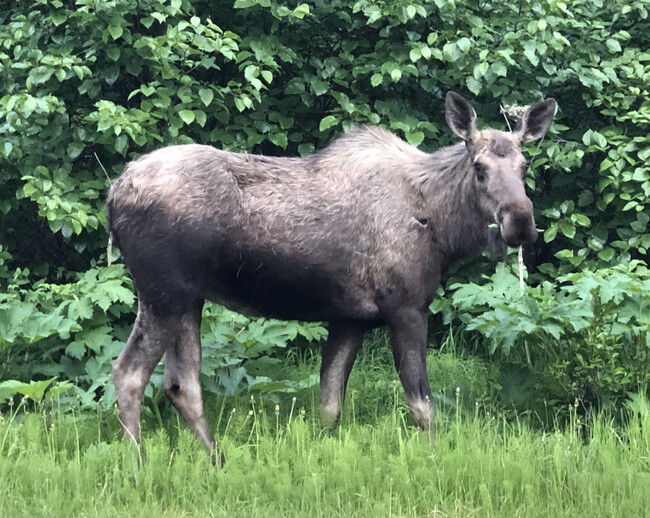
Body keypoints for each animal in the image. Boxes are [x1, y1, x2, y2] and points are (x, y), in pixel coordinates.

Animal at [109, 91, 556, 458]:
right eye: (479, 167)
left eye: (525, 165)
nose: (520, 222)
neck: (443, 228)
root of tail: (114, 193)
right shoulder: (407, 308)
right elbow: (422, 405)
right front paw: (433, 459)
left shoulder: (350, 319)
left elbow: (328, 406)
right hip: (163, 293)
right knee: (129, 373)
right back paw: (139, 465)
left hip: (190, 299)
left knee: (181, 384)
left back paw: (216, 460)